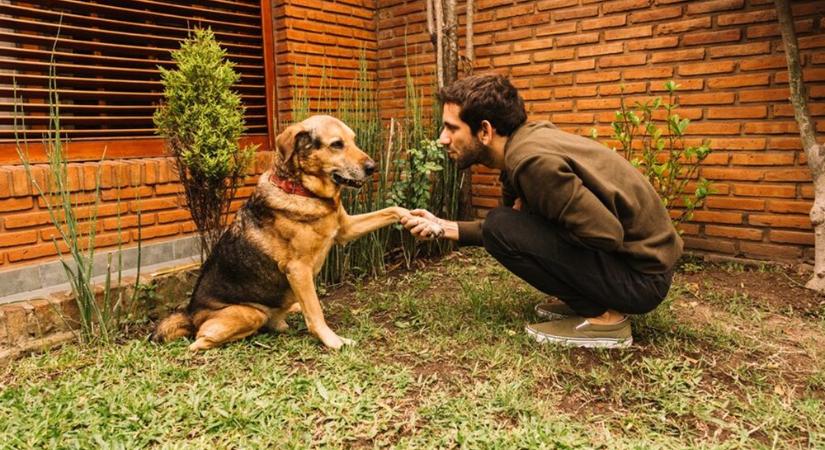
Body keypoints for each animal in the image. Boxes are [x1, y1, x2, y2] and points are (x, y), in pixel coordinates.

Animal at [150, 114, 408, 350]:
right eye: (336, 144)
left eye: (353, 140)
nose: (372, 168)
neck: (301, 189)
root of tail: (190, 314)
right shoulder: (298, 270)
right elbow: (315, 313)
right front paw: (333, 341)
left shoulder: (345, 229)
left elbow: (390, 211)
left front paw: (411, 215)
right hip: (248, 314)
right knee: (199, 341)